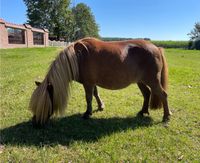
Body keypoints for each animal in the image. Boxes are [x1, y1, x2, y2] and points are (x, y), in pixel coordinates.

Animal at [29, 37, 172, 126]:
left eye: (43, 102)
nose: (36, 122)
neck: (78, 57)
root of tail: (156, 48)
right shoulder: (92, 83)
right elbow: (95, 94)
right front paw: (100, 106)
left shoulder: (88, 83)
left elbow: (88, 97)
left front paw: (87, 113)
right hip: (140, 81)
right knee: (147, 94)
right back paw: (143, 112)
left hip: (152, 80)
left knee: (163, 95)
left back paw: (166, 117)